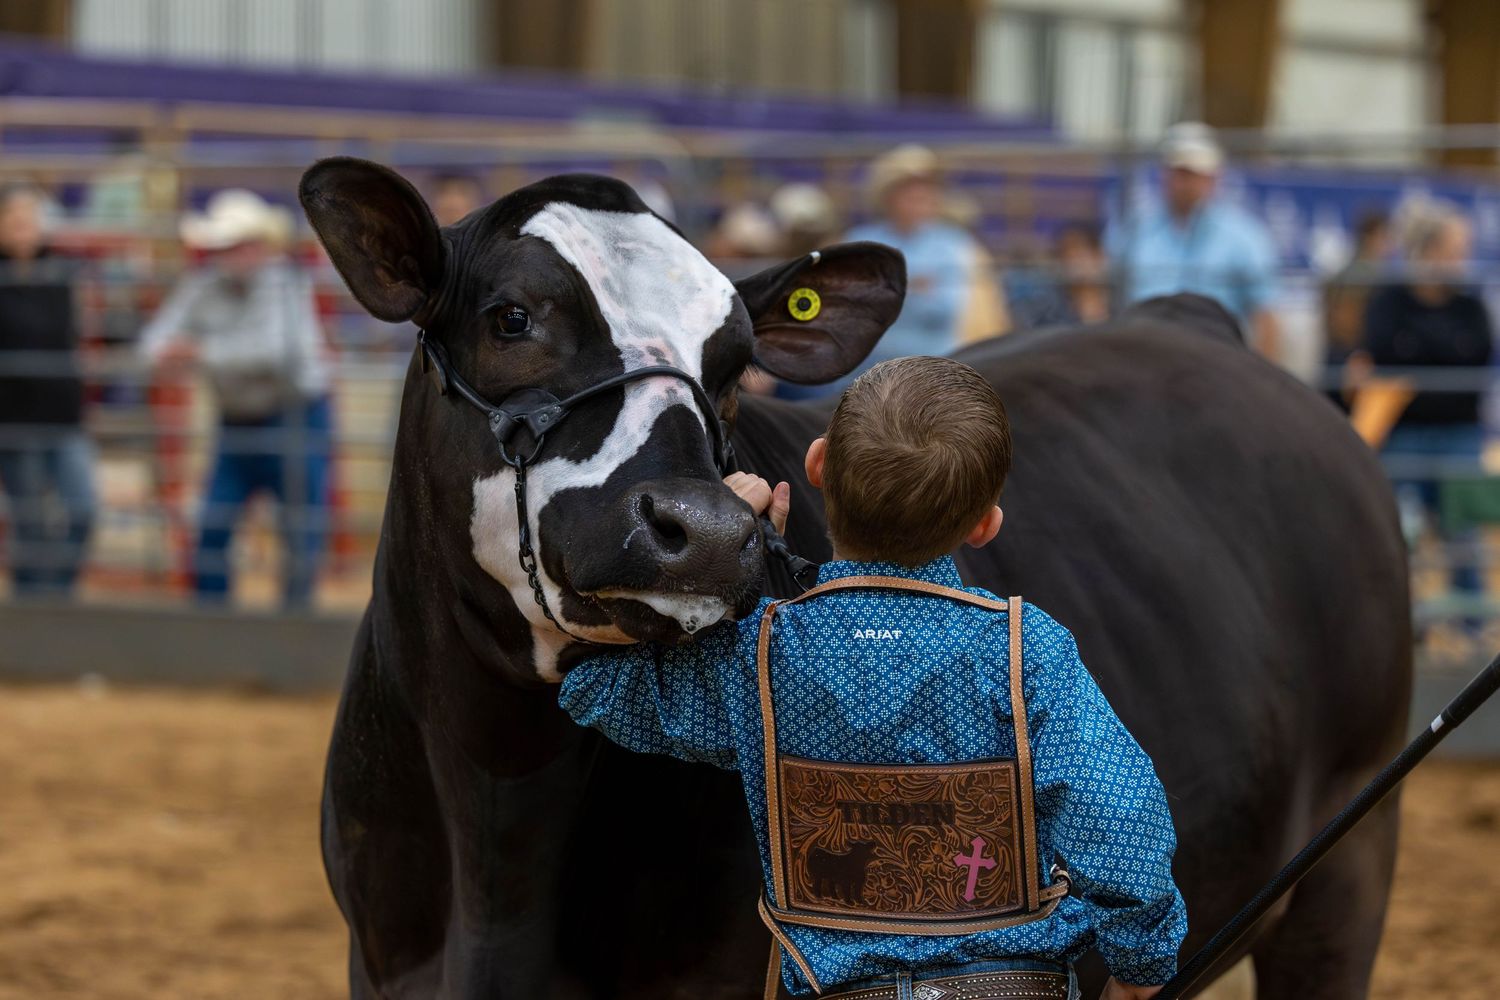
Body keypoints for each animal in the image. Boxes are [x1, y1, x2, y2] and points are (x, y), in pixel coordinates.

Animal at [299, 159, 1410, 1000]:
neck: (499, 814)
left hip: (1351, 856)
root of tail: (1187, 317)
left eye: (736, 364)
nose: (708, 530)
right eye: (511, 316)